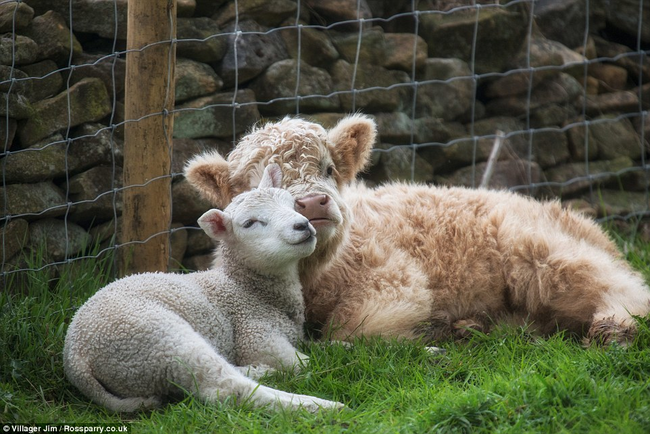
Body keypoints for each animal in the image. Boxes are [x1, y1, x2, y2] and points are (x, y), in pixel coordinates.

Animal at [62, 164, 344, 412]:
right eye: (250, 223)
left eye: (291, 203)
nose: (303, 225)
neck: (245, 288)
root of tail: (76, 358)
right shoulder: (255, 336)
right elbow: (304, 363)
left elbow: (320, 346)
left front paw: (341, 347)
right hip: (157, 340)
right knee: (225, 388)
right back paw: (317, 406)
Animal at [182, 113, 648, 348]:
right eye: (253, 183)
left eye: (329, 169)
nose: (312, 204)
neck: (316, 279)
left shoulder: (394, 280)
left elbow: (350, 334)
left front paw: (429, 331)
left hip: (540, 252)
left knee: (622, 288)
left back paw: (615, 328)